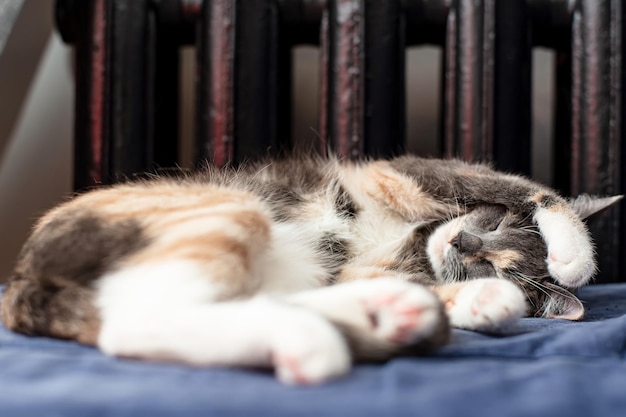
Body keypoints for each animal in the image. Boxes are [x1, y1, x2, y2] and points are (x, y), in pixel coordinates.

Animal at [0, 155, 616, 384]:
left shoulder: (367, 268)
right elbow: (523, 184)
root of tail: (26, 286)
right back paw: (312, 340)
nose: (463, 241)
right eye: (491, 225)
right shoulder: (403, 172)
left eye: (496, 264)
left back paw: (391, 316)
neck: (418, 240)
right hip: (228, 209)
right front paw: (574, 254)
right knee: (134, 323)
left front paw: (482, 298)